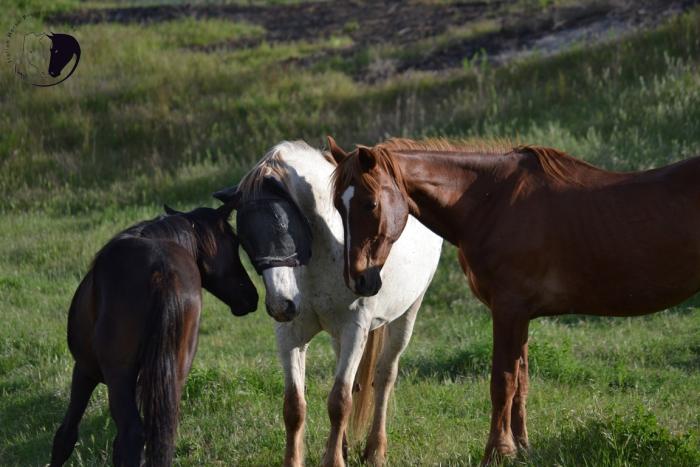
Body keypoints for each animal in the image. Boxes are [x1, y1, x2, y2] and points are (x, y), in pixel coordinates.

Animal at [50, 204, 258, 467]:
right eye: (235, 242)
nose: (252, 296)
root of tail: (162, 273)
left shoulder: (84, 370)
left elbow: (65, 436)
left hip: (118, 375)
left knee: (132, 435)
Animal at [213, 140, 443, 467]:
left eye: (285, 226)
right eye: (244, 239)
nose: (281, 305)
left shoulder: (354, 331)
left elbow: (340, 401)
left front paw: (335, 460)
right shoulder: (290, 336)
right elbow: (294, 406)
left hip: (407, 314)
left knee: (384, 376)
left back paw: (375, 450)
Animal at [328, 136, 700, 464]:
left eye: (370, 203)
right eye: (336, 207)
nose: (358, 279)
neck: (491, 201)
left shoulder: (508, 310)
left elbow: (502, 382)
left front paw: (496, 452)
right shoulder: (521, 315)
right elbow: (521, 383)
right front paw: (521, 449)